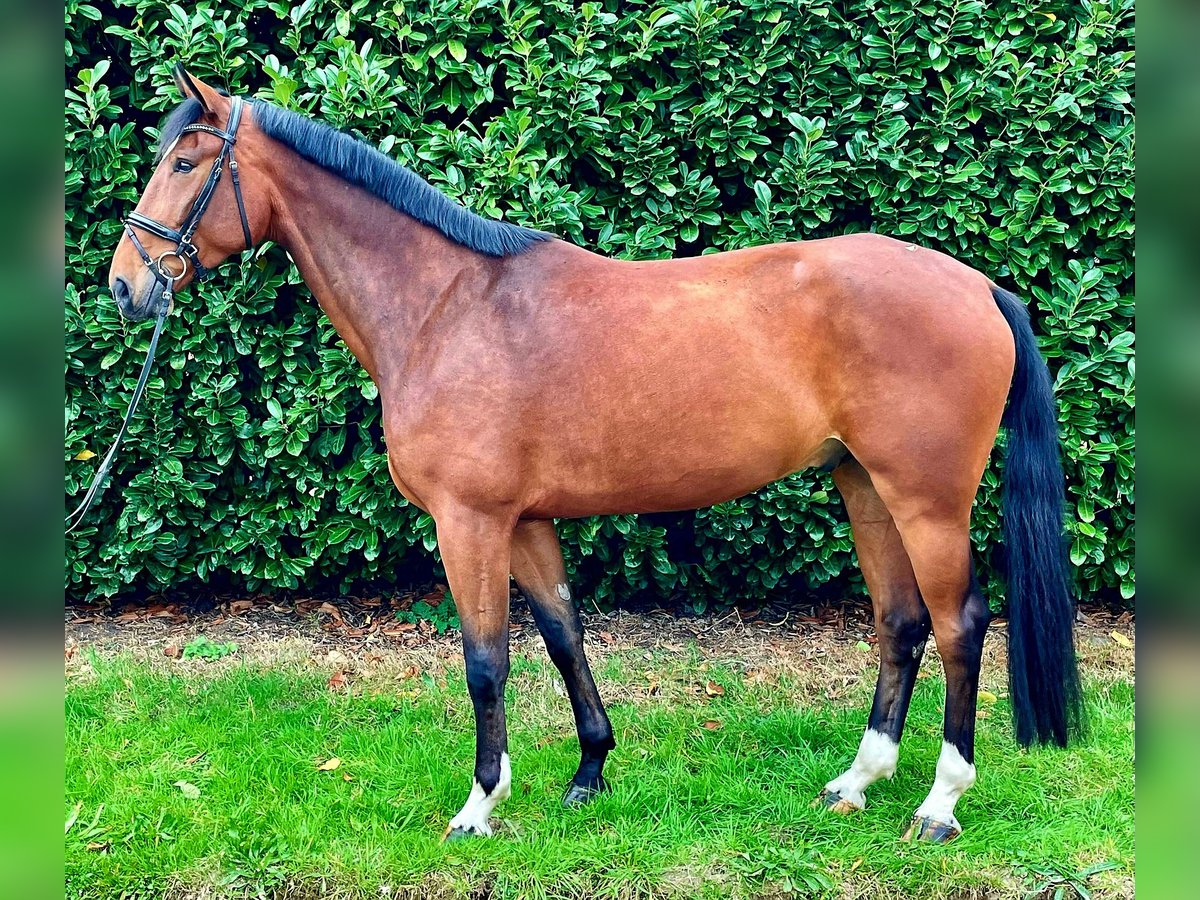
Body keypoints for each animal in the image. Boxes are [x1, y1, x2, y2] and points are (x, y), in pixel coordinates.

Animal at [105, 67, 1084, 843]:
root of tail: (978, 286)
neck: (444, 308)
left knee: (959, 625)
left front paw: (478, 807)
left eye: (185, 164)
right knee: (900, 624)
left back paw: (939, 804)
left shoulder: (470, 522)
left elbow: (486, 661)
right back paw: (857, 782)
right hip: (864, 484)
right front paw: (589, 773)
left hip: (926, 498)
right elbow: (563, 636)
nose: (125, 284)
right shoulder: (525, 520)